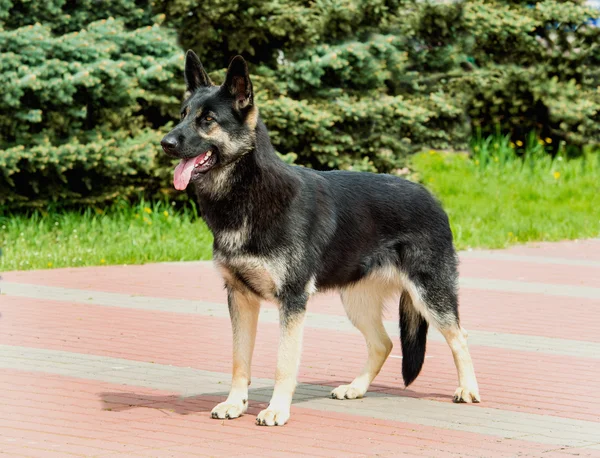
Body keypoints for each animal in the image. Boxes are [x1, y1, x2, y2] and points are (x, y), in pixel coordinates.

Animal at [162, 52, 480, 428]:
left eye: (207, 119)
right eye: (183, 114)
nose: (165, 143)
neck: (247, 192)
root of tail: (432, 197)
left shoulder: (293, 301)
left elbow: (284, 363)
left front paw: (276, 410)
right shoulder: (240, 297)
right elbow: (240, 360)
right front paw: (235, 403)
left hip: (429, 296)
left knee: (459, 336)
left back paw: (468, 389)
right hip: (357, 301)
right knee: (383, 344)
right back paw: (356, 388)